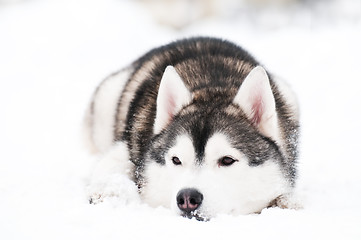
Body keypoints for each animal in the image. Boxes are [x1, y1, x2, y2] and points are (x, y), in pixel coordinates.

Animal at [83, 37, 298, 219]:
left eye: (227, 160)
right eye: (176, 160)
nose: (187, 198)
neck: (213, 88)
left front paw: (288, 202)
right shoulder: (128, 147)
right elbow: (113, 163)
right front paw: (107, 190)